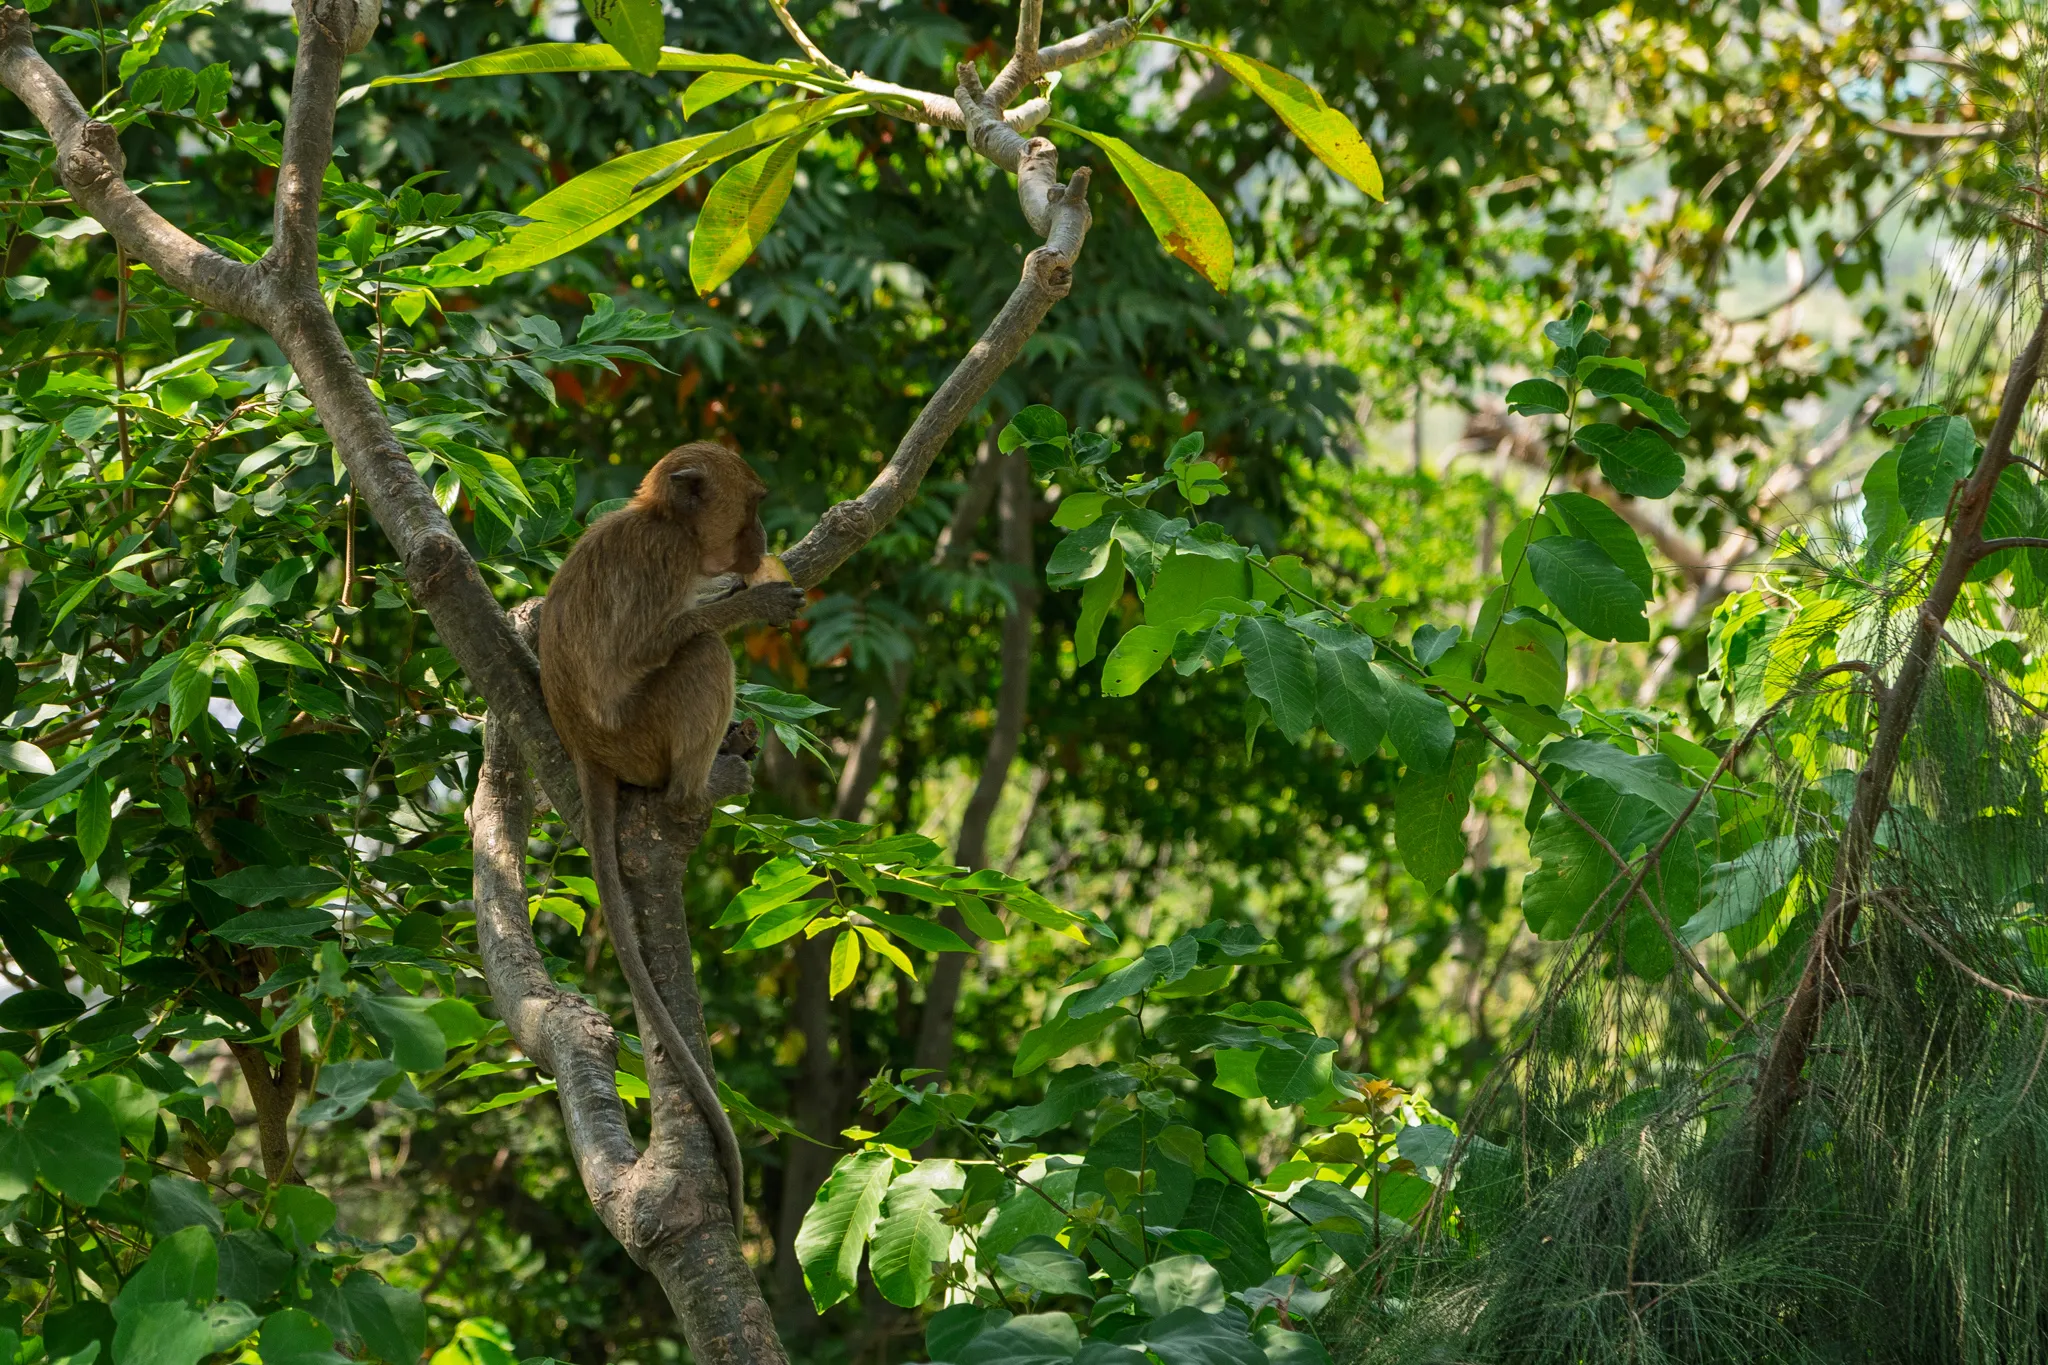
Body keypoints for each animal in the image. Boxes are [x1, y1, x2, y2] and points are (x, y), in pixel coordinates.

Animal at [539, 442, 805, 1234]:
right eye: (753, 505)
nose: (759, 541)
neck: (668, 525)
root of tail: (585, 749)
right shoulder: (662, 561)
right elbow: (649, 647)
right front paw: (745, 600)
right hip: (639, 736)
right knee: (700, 654)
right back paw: (699, 786)